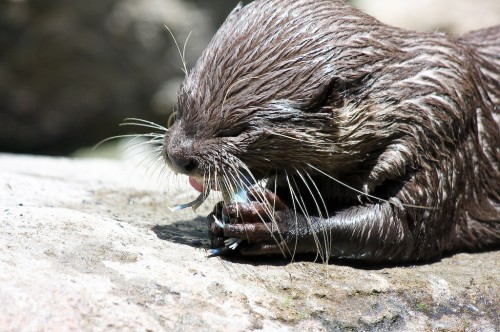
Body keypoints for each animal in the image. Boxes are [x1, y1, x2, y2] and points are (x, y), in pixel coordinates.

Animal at [162, 0, 498, 264]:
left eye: (238, 130)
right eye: (182, 102)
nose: (178, 156)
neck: (409, 97)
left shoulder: (442, 140)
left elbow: (402, 230)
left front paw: (269, 222)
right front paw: (222, 215)